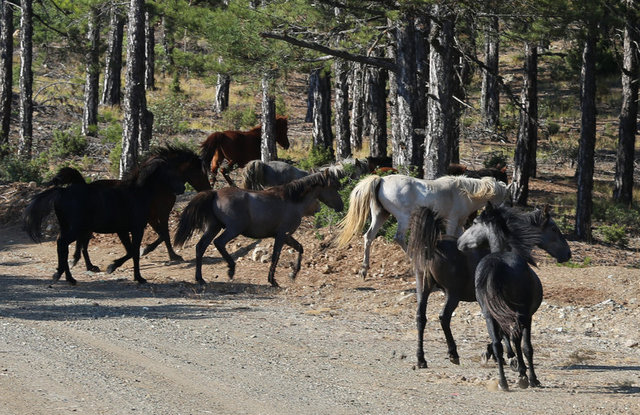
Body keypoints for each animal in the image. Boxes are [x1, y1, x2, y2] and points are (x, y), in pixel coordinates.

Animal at [23, 159, 184, 286]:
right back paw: (67, 276)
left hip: (68, 227)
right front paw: (135, 276)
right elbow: (134, 252)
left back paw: (66, 275)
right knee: (63, 244)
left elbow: (131, 251)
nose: (182, 188)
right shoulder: (137, 229)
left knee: (63, 245)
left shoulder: (123, 230)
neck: (137, 193)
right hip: (75, 228)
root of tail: (62, 192)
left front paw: (114, 267)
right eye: (170, 173)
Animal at [175, 169, 342, 286]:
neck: (292, 201)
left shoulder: (286, 236)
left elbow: (300, 248)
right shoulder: (282, 235)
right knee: (219, 243)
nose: (341, 205)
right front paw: (272, 280)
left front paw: (293, 274)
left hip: (213, 227)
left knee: (200, 247)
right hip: (233, 229)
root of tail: (215, 193)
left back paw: (200, 279)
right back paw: (231, 269)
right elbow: (275, 256)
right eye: (333, 187)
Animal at [336, 175, 510, 280]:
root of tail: (381, 180)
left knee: (369, 237)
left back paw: (364, 270)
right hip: (403, 218)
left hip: (380, 215)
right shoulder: (452, 221)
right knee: (399, 238)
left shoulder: (459, 224)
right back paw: (416, 261)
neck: (463, 193)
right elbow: (452, 239)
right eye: (505, 197)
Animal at [404, 203, 568, 368]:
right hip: (452, 294)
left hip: (423, 289)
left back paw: (421, 359)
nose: (568, 254)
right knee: (444, 318)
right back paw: (453, 353)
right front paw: (503, 354)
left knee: (420, 318)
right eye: (554, 228)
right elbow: (501, 330)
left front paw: (498, 354)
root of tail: (434, 245)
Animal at [458, 203, 572, 392]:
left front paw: (513, 364)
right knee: (520, 343)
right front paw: (529, 376)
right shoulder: (527, 316)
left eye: (474, 223)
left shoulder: (500, 314)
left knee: (498, 344)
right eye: (554, 228)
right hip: (520, 315)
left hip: (489, 314)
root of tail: (495, 263)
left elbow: (504, 340)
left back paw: (503, 382)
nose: (568, 254)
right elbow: (525, 347)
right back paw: (523, 377)